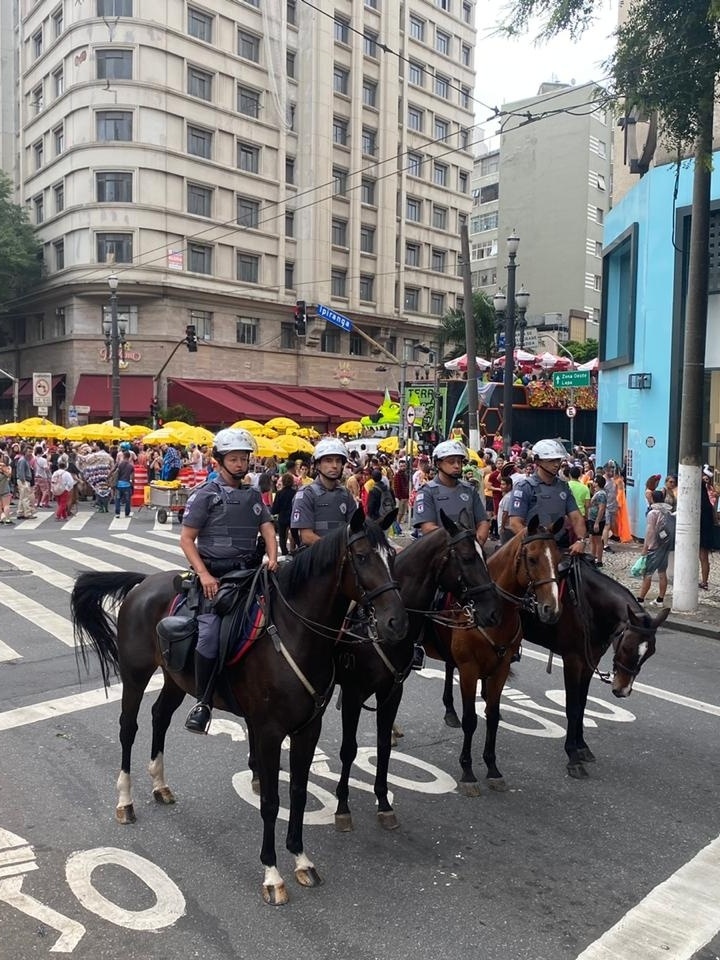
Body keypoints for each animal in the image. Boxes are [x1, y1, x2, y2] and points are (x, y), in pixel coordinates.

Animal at [70, 506, 408, 904]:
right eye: (362, 557)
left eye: (393, 556)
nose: (397, 622)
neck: (296, 633)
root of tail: (144, 582)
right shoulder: (269, 732)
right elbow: (272, 802)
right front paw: (272, 873)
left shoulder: (309, 727)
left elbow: (297, 792)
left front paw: (301, 859)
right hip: (135, 675)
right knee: (128, 728)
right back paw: (125, 801)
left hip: (176, 679)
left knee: (160, 717)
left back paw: (160, 783)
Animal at [330, 510, 500, 832]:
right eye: (468, 557)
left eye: (486, 555)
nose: (491, 611)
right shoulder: (353, 692)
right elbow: (348, 748)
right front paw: (343, 806)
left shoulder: (392, 690)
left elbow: (383, 746)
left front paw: (383, 802)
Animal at [430, 516, 564, 796]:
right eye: (532, 558)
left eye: (559, 559)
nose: (552, 609)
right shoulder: (469, 669)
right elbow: (471, 719)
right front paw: (468, 771)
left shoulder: (500, 669)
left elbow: (491, 716)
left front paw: (492, 768)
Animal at [516, 556, 668, 780]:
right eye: (627, 646)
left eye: (651, 653)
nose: (623, 690)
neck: (588, 605)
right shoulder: (572, 661)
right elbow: (572, 707)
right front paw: (572, 755)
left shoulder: (589, 663)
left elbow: (582, 704)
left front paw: (581, 746)